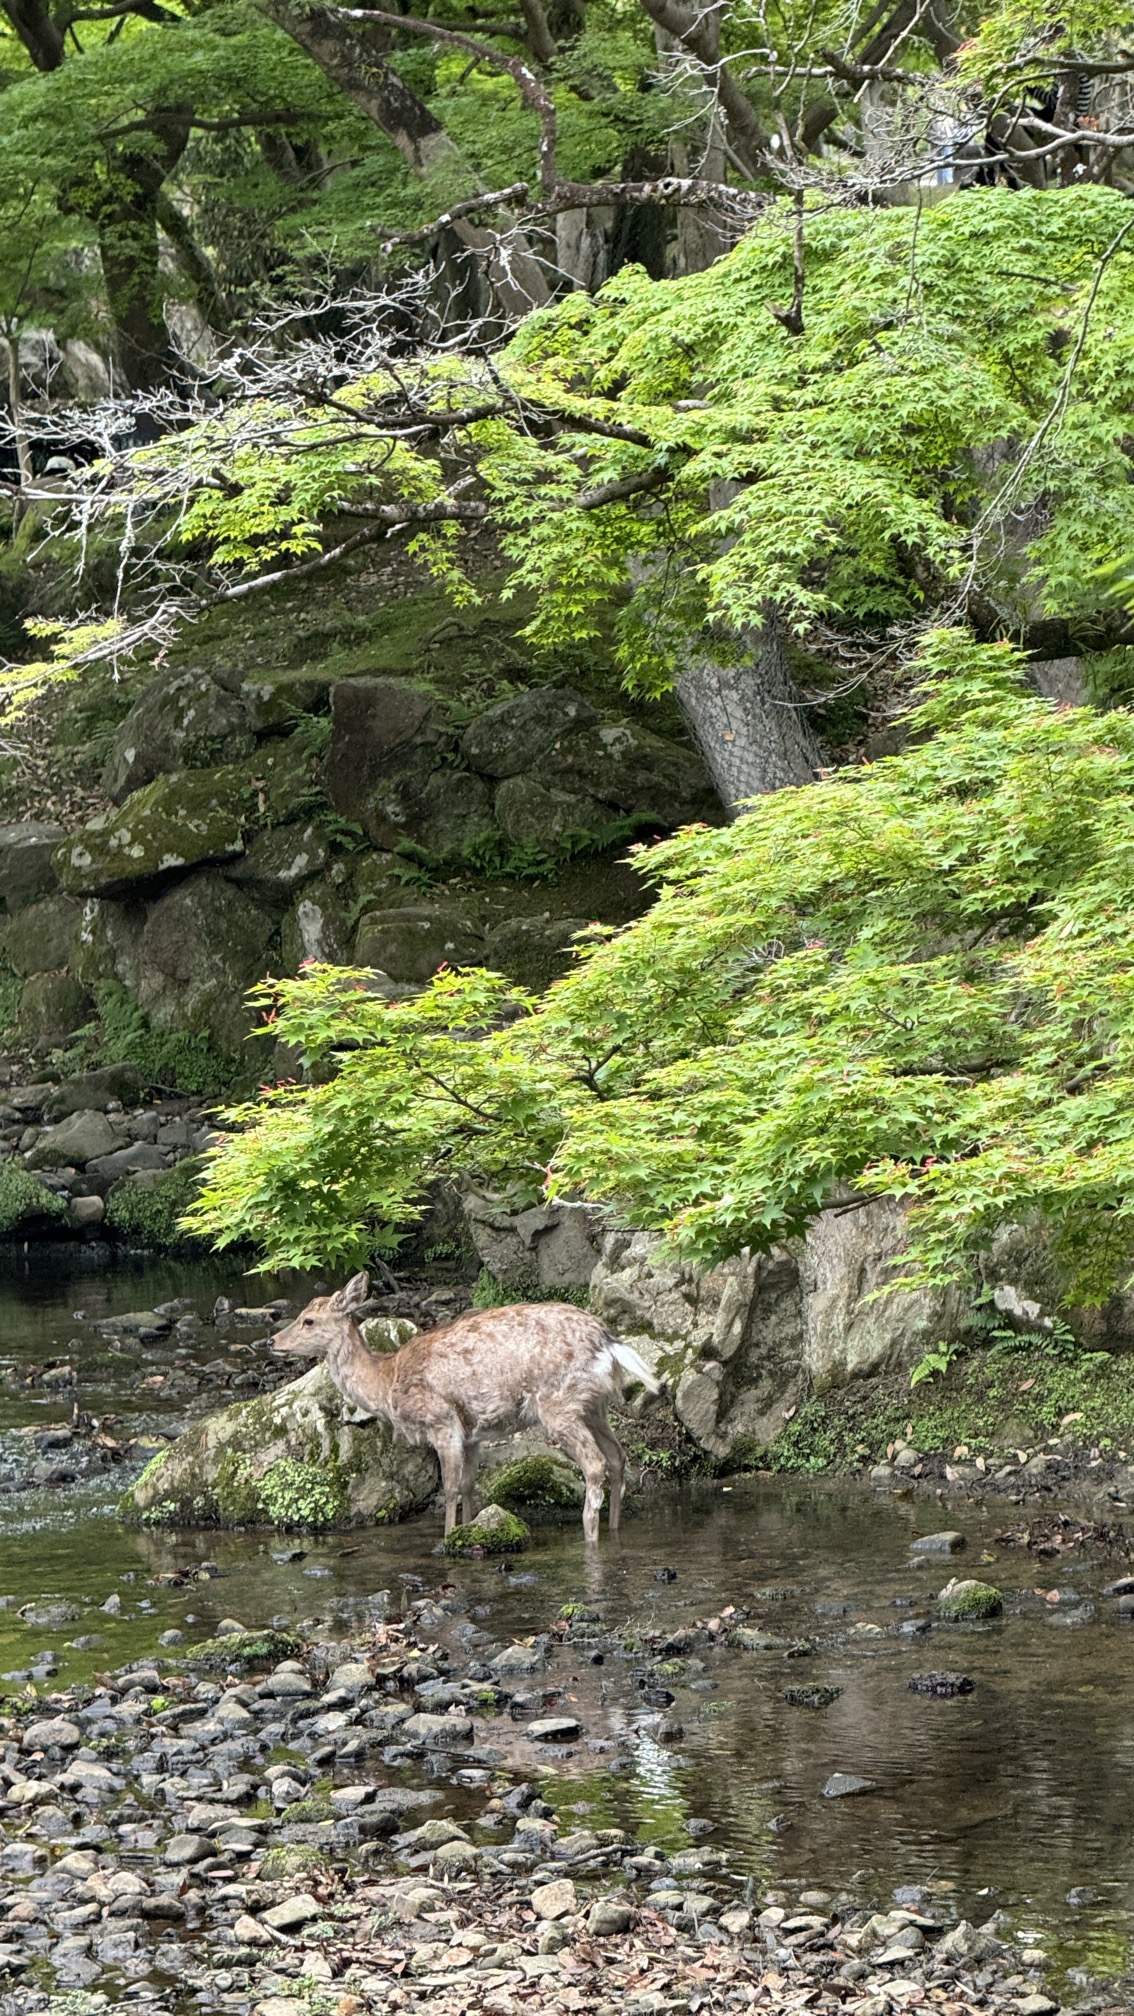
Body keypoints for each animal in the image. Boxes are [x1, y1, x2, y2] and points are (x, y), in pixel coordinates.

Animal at [270, 1272, 660, 1543]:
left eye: (309, 1320)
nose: (273, 1341)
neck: (387, 1383)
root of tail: (608, 1342)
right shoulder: (474, 1433)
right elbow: (471, 1485)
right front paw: (473, 1528)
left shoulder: (443, 1421)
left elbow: (451, 1488)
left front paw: (448, 1539)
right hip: (594, 1404)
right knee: (617, 1457)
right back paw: (614, 1529)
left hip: (558, 1403)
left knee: (594, 1464)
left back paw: (590, 1535)